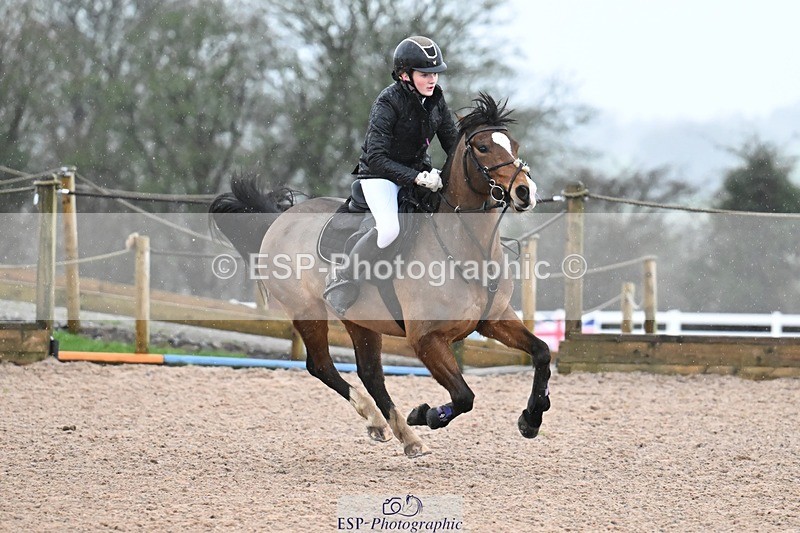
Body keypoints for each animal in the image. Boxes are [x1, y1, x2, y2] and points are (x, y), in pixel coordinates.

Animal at [209, 93, 551, 457]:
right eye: (484, 147)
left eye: (514, 145)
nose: (524, 192)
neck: (467, 249)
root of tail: (280, 220)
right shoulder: (426, 339)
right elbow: (463, 396)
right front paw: (427, 414)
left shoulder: (494, 320)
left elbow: (541, 352)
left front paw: (532, 418)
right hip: (307, 311)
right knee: (322, 366)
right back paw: (382, 421)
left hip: (360, 320)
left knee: (370, 373)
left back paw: (404, 436)